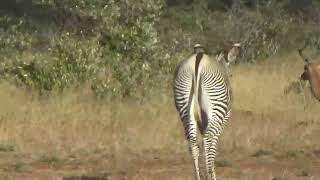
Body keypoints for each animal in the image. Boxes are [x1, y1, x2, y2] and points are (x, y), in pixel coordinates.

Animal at [174, 44, 234, 180]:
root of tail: (198, 58)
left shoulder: (202, 123)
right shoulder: (223, 120)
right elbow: (213, 146)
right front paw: (212, 174)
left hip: (184, 108)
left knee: (193, 144)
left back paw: (198, 176)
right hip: (217, 109)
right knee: (207, 142)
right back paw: (208, 175)